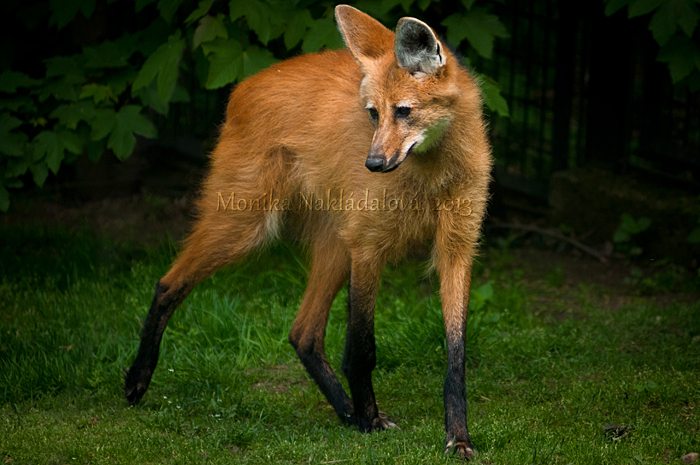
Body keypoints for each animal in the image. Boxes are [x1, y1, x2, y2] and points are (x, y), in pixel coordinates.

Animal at [121, 4, 492, 456]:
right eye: (373, 113)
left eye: (404, 111)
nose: (373, 164)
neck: (433, 174)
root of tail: (246, 83)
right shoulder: (368, 247)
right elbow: (361, 349)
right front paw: (370, 420)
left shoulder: (457, 246)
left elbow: (456, 352)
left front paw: (458, 435)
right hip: (247, 227)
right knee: (168, 283)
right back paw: (137, 379)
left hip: (334, 245)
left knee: (303, 333)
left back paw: (346, 411)